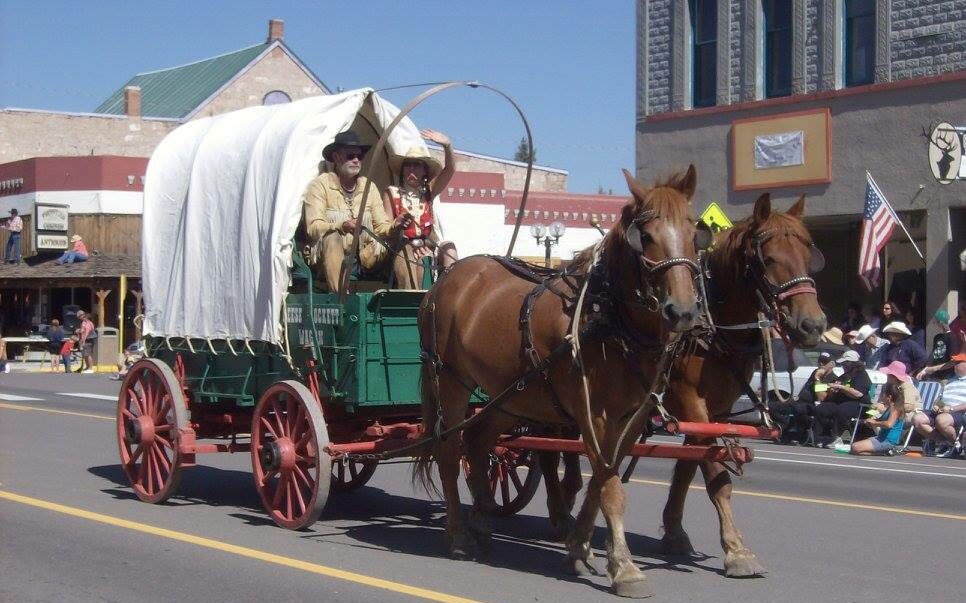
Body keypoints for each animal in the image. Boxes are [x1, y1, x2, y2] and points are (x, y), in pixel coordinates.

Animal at [414, 166, 704, 600]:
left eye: (693, 230)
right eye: (647, 236)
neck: (608, 317)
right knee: (449, 450)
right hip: (451, 382)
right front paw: (626, 568)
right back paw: (459, 535)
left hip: (509, 394)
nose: (682, 310)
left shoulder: (632, 417)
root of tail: (442, 281)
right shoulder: (593, 415)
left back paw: (482, 520)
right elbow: (609, 487)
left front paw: (579, 546)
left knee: (479, 442)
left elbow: (600, 479)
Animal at [660, 196, 828, 580]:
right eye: (768, 259)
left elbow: (690, 466)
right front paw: (737, 551)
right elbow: (716, 475)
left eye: (807, 253)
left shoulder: (718, 409)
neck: (713, 330)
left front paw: (675, 532)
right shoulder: (689, 400)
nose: (812, 325)